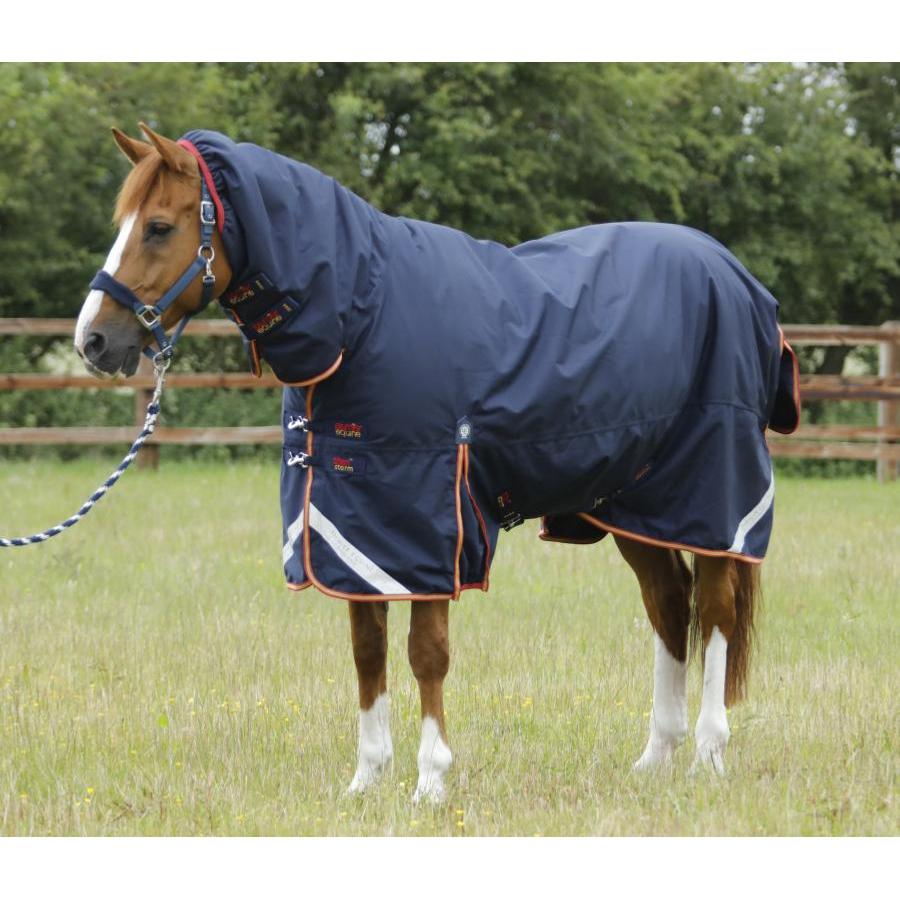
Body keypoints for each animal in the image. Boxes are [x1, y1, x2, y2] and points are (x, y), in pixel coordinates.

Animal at [74, 123, 799, 803]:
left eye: (159, 227)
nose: (92, 340)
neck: (361, 321)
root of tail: (736, 278)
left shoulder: (428, 525)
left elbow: (426, 655)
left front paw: (430, 781)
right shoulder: (351, 530)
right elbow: (367, 652)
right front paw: (366, 780)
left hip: (711, 500)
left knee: (716, 610)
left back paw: (708, 755)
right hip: (634, 507)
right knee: (670, 606)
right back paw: (655, 758)